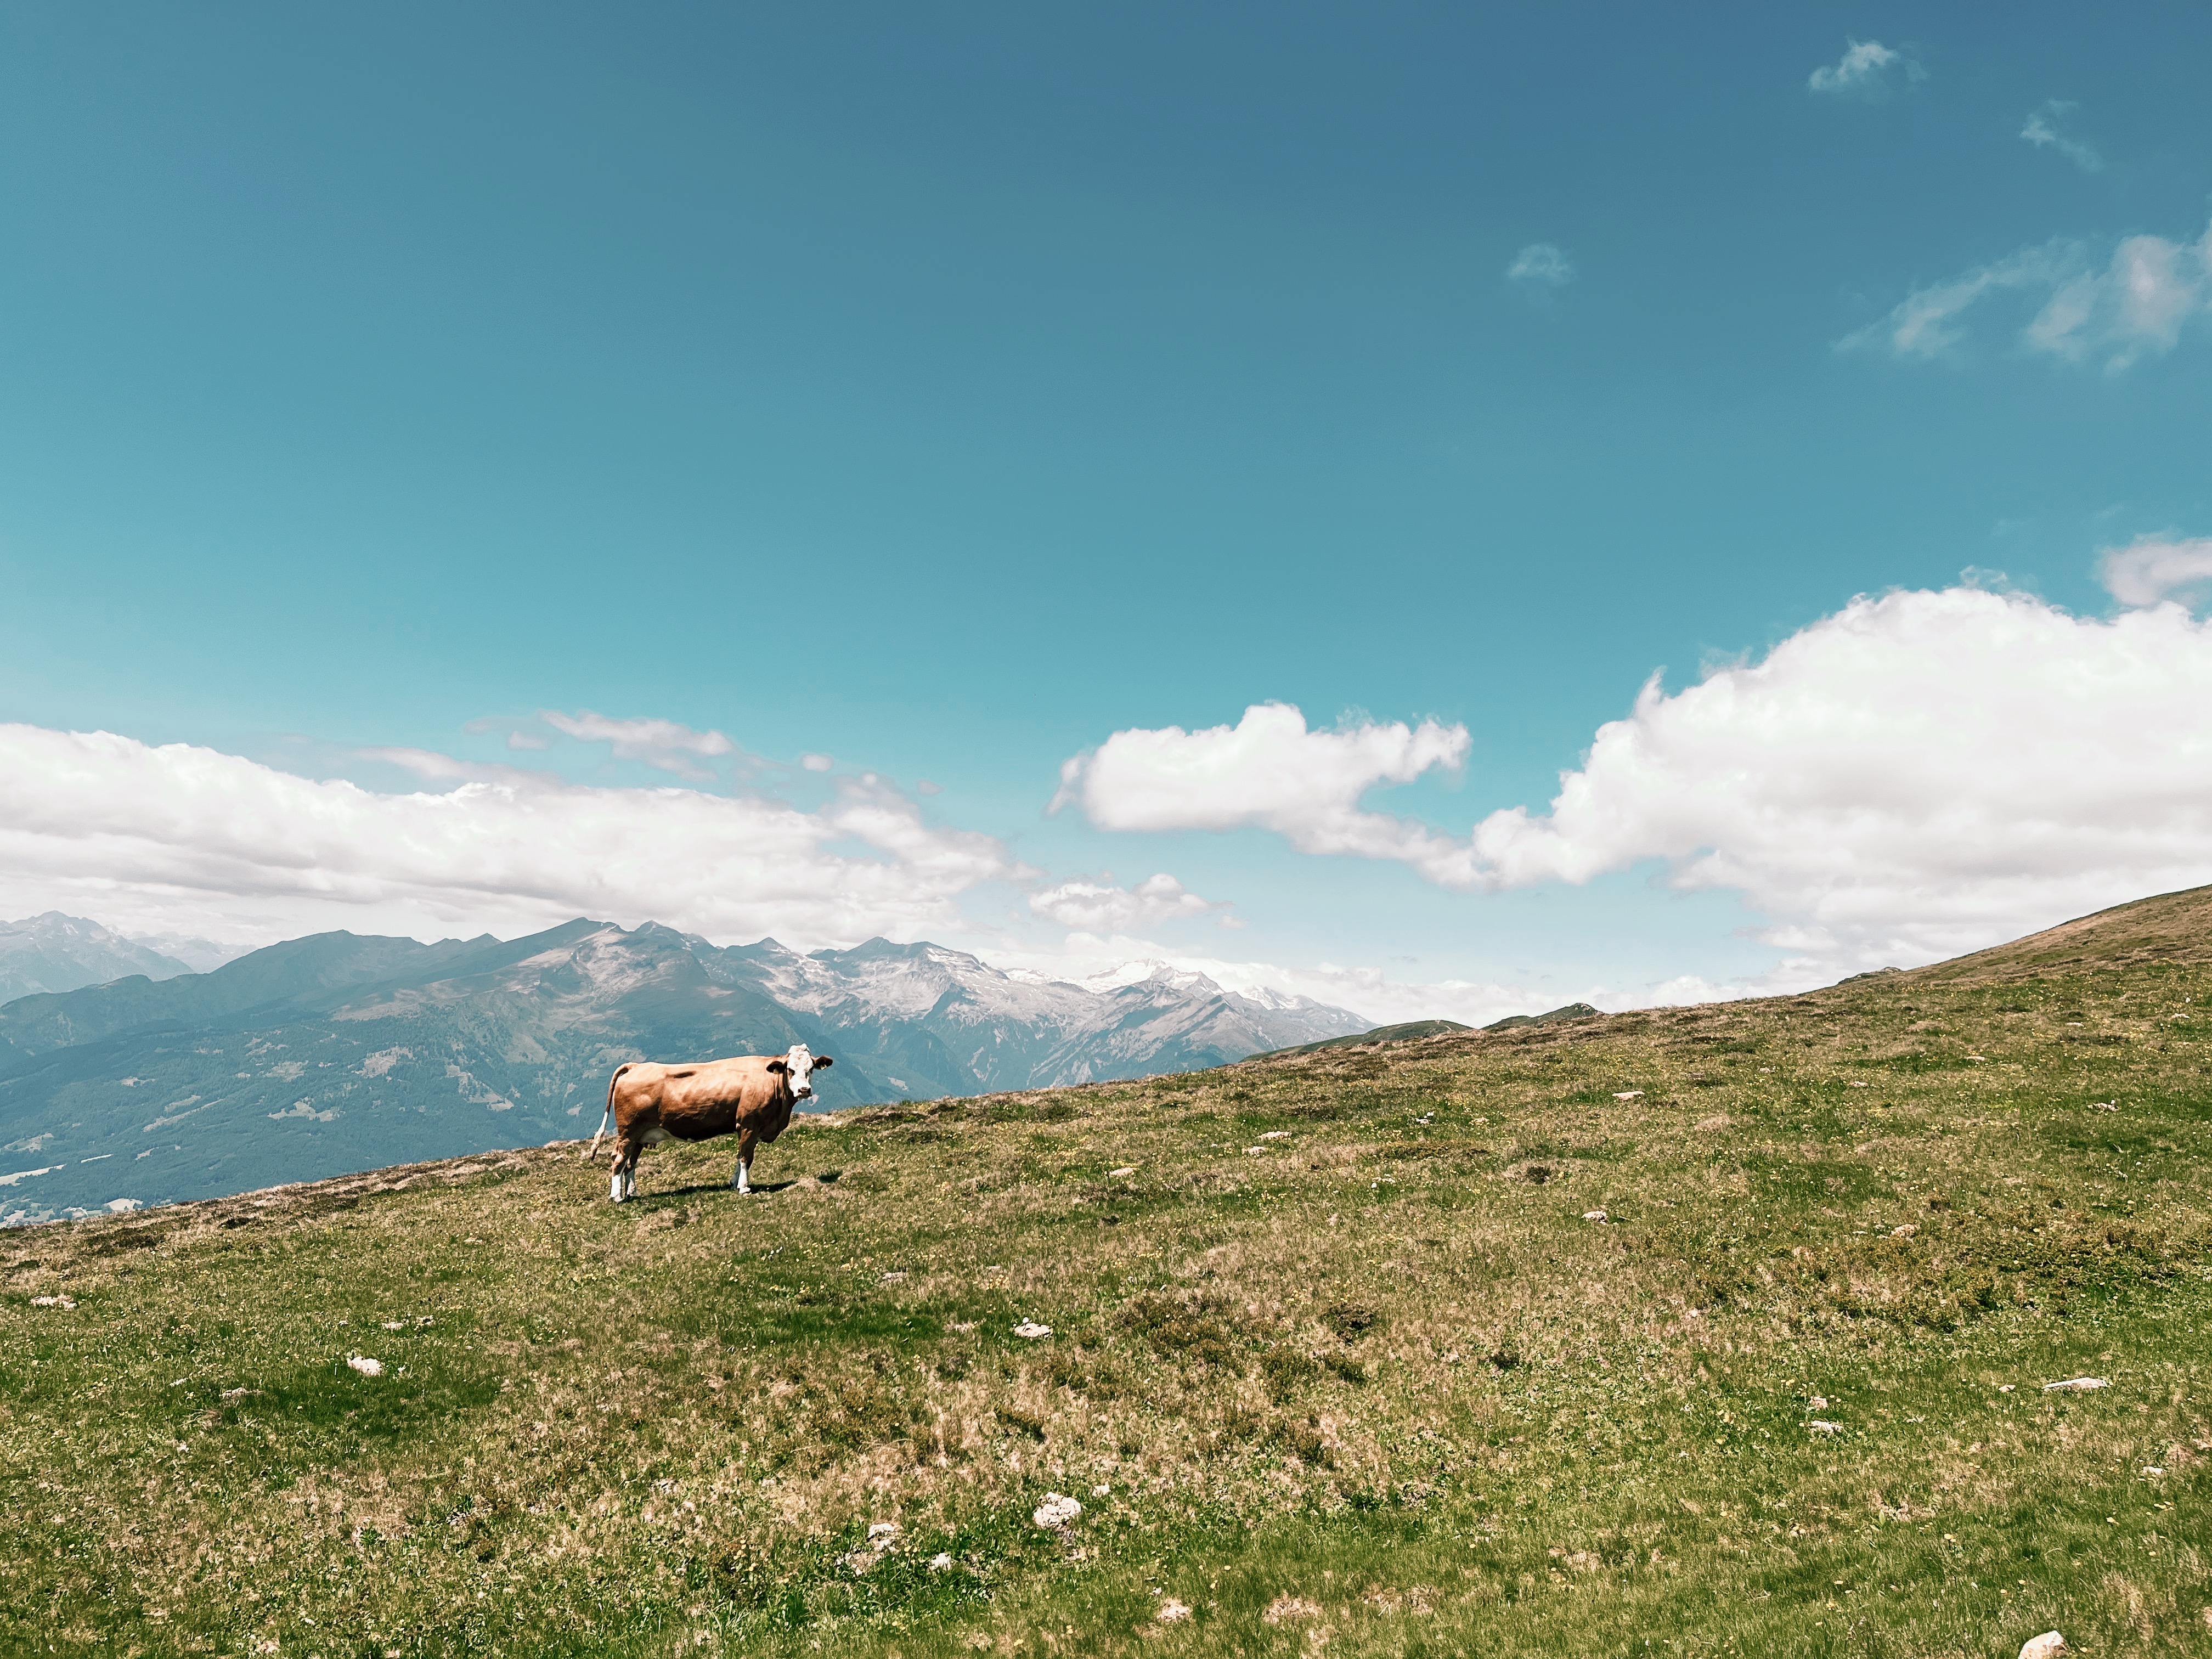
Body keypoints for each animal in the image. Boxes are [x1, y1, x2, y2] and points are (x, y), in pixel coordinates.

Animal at [584, 1044, 832, 1203]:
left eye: (810, 1069)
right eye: (790, 1069)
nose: (804, 1090)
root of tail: (636, 1066)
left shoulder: (746, 1128)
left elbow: (739, 1156)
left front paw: (733, 1182)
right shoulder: (749, 1125)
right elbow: (746, 1158)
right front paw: (744, 1187)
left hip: (641, 1135)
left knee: (630, 1164)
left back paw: (632, 1193)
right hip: (628, 1132)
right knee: (619, 1160)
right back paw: (617, 1197)